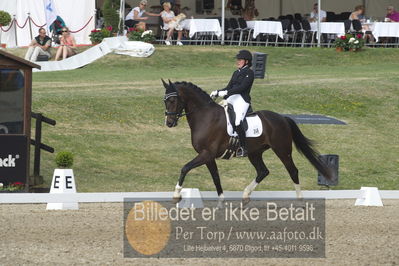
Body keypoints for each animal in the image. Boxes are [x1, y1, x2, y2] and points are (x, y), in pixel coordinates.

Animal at [163, 80, 334, 203]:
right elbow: (216, 177)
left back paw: (299, 199)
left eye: (173, 100)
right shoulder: (208, 156)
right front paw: (221, 201)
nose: (169, 123)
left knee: (293, 171)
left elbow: (185, 168)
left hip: (282, 150)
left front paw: (176, 194)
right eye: (165, 101)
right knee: (263, 171)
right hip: (255, 153)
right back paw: (245, 194)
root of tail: (282, 118)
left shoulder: (207, 154)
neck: (205, 116)